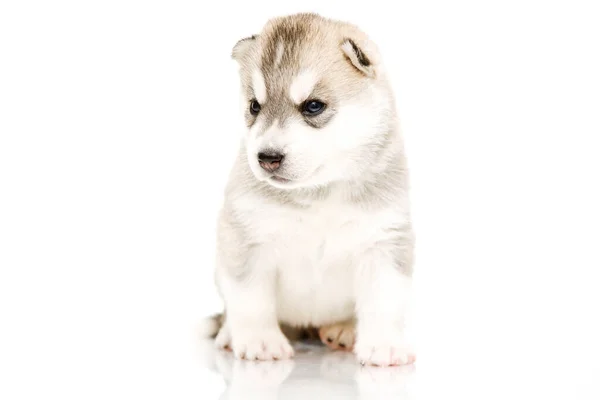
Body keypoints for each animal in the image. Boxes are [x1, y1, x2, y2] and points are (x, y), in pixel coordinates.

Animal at [210, 14, 412, 368]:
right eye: (254, 106)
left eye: (313, 106)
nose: (267, 158)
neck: (318, 192)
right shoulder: (246, 239)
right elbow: (250, 299)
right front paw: (260, 341)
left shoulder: (384, 240)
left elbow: (384, 301)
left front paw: (384, 345)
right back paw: (228, 334)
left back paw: (343, 330)